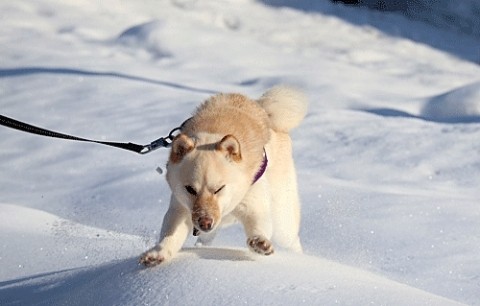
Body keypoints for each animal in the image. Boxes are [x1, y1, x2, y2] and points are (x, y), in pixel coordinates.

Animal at [141, 86, 310, 266]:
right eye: (190, 189)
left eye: (219, 189)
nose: (205, 223)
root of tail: (264, 108)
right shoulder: (181, 206)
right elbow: (171, 234)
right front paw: (157, 253)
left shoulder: (253, 201)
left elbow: (258, 223)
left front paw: (259, 242)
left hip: (283, 218)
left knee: (291, 238)